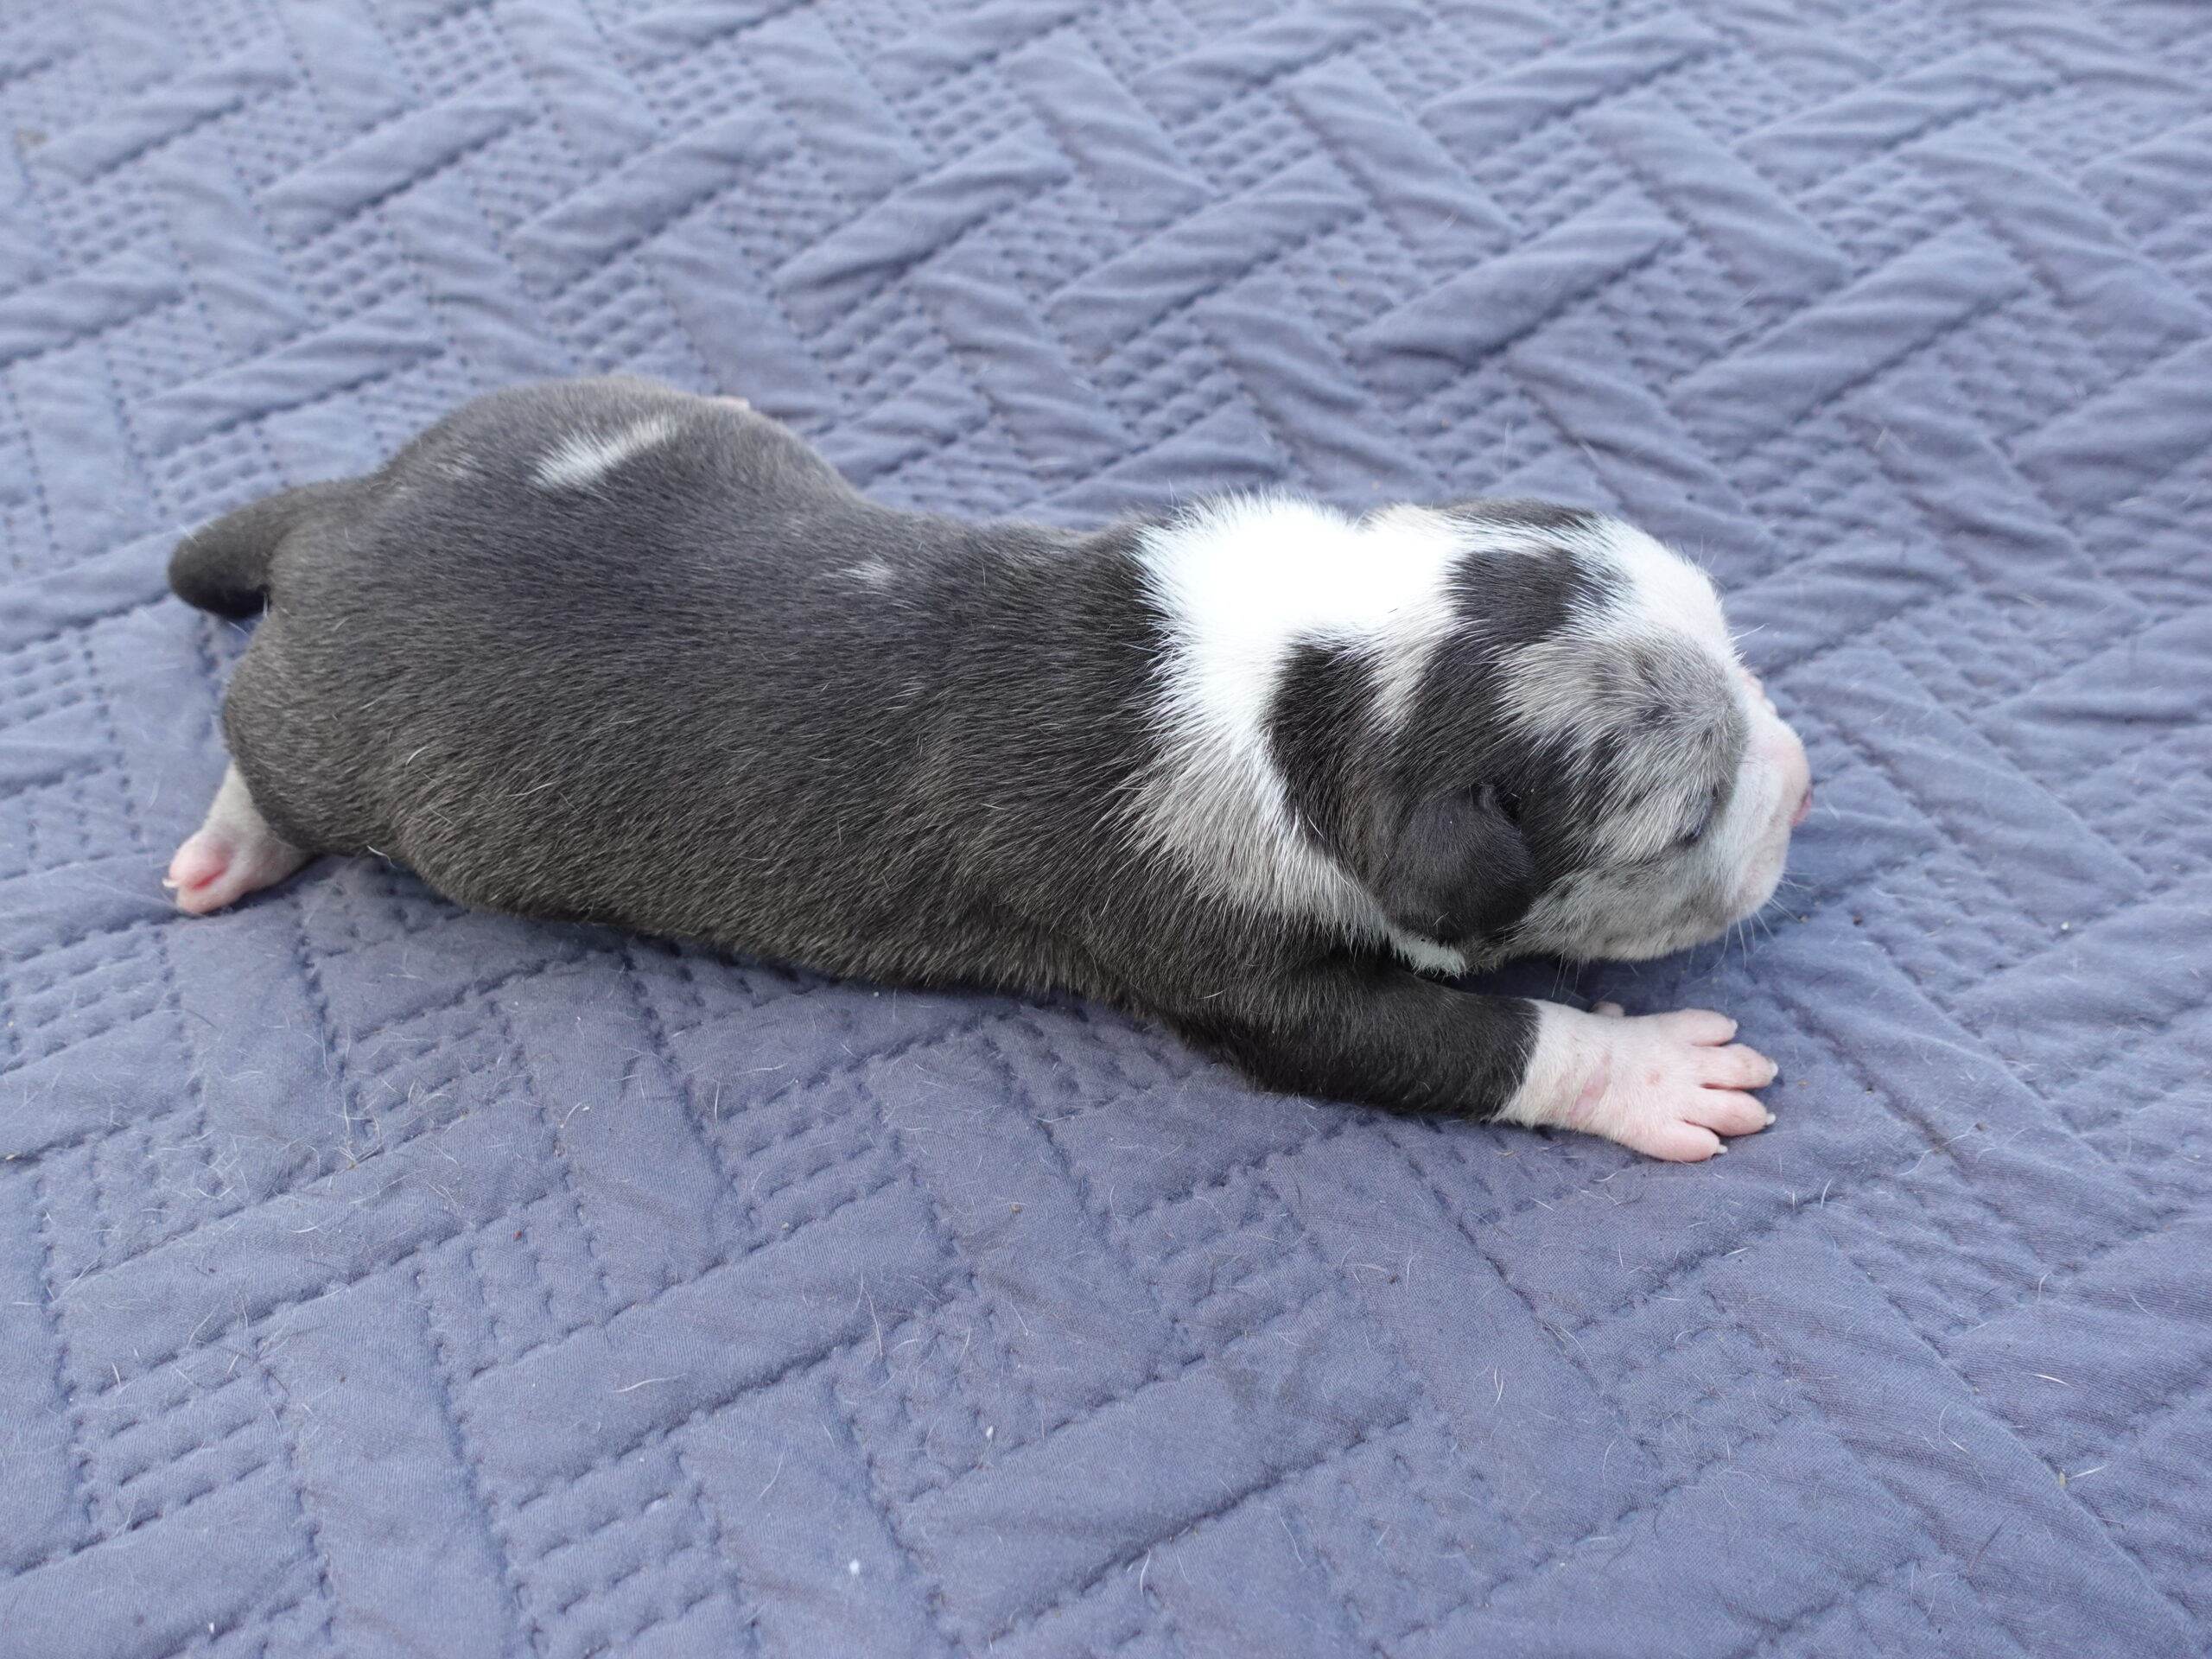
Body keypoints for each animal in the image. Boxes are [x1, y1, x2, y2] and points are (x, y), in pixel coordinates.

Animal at [165, 376, 1811, 1162]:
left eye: (1739, 646)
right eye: (1685, 820)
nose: (1801, 781)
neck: (1307, 676)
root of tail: (340, 518)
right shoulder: (1219, 960)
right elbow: (1452, 1039)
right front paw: (1647, 1067)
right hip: (340, 751)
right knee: (261, 759)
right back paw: (234, 842)